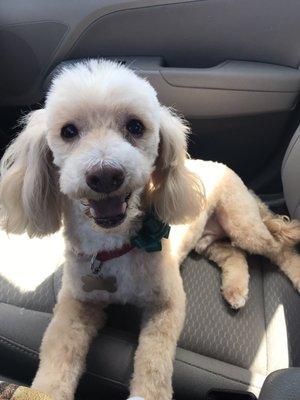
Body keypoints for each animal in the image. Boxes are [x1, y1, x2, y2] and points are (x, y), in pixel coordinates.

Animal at [0, 59, 300, 400]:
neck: (112, 247)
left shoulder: (168, 303)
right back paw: (235, 290)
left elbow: (154, 360)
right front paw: (44, 389)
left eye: (135, 127)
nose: (105, 175)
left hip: (242, 223)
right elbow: (56, 354)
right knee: (233, 255)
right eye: (68, 131)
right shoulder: (76, 302)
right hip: (207, 241)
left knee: (277, 249)